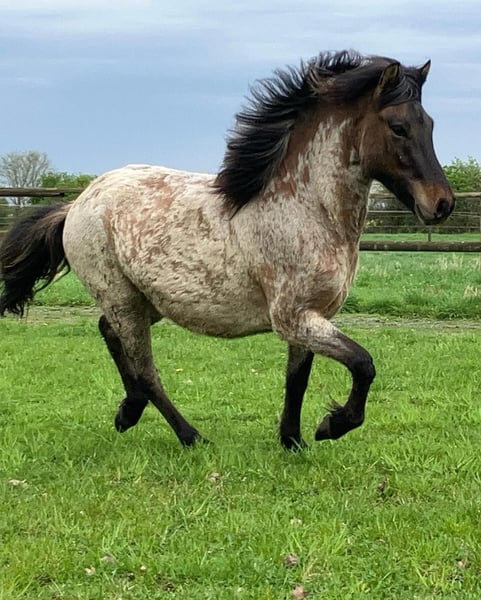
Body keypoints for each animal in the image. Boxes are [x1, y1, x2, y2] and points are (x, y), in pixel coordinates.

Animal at [0, 50, 454, 449]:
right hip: (120, 297)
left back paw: (128, 412)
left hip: (146, 301)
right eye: (398, 127)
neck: (304, 208)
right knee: (146, 369)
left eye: (431, 124)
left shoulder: (311, 318)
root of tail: (78, 203)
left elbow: (297, 379)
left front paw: (293, 441)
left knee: (110, 334)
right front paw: (332, 425)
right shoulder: (294, 318)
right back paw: (190, 436)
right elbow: (363, 364)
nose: (442, 204)